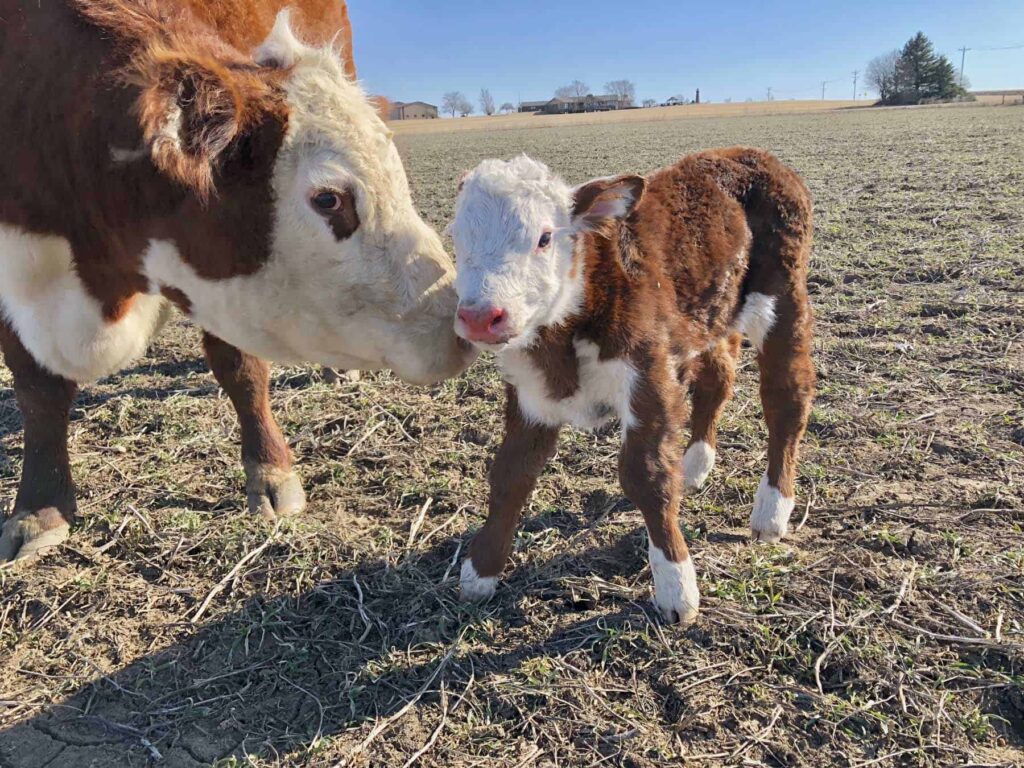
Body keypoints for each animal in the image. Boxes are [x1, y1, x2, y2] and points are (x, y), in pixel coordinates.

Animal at [0, 0, 477, 562]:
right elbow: (39, 391)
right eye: (328, 199)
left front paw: (270, 471)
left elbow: (241, 367)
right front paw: (39, 508)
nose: (457, 326)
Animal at [449, 150, 815, 624]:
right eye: (456, 238)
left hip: (783, 296)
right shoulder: (529, 392)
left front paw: (677, 585)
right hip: (713, 313)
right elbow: (511, 473)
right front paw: (481, 570)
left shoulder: (649, 375)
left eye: (545, 238)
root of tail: (749, 154)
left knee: (785, 397)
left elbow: (646, 475)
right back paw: (695, 465)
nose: (480, 317)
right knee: (717, 378)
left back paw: (772, 509)